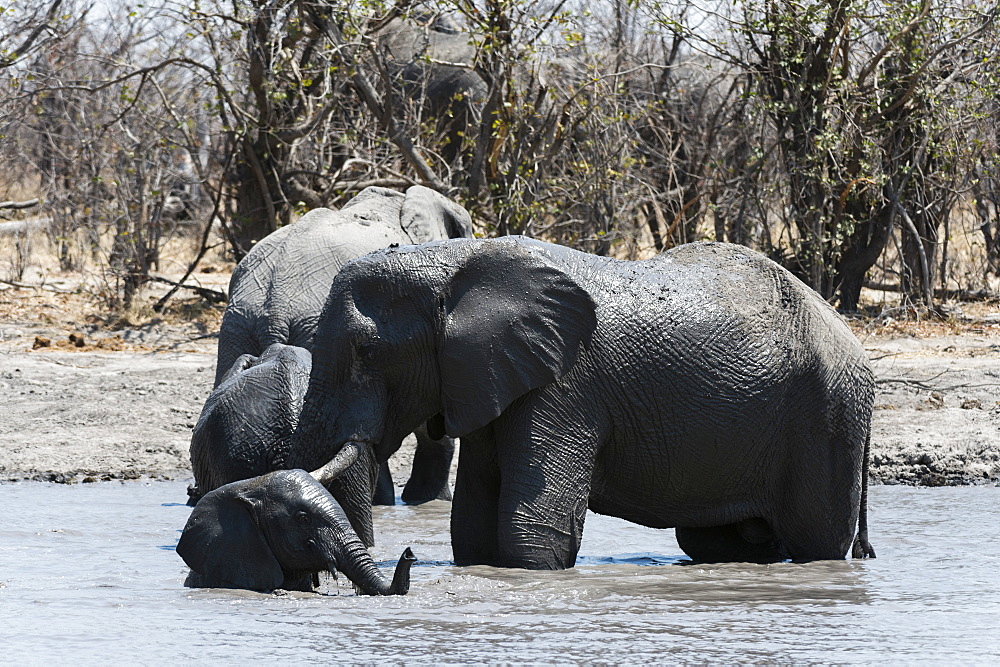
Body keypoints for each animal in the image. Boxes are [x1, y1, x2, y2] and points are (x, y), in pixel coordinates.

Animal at [288, 235, 876, 568]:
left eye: (367, 352)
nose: (403, 554)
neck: (456, 261)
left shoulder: (566, 385)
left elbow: (529, 531)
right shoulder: (488, 375)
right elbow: (472, 527)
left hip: (828, 415)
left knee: (816, 541)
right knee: (716, 541)